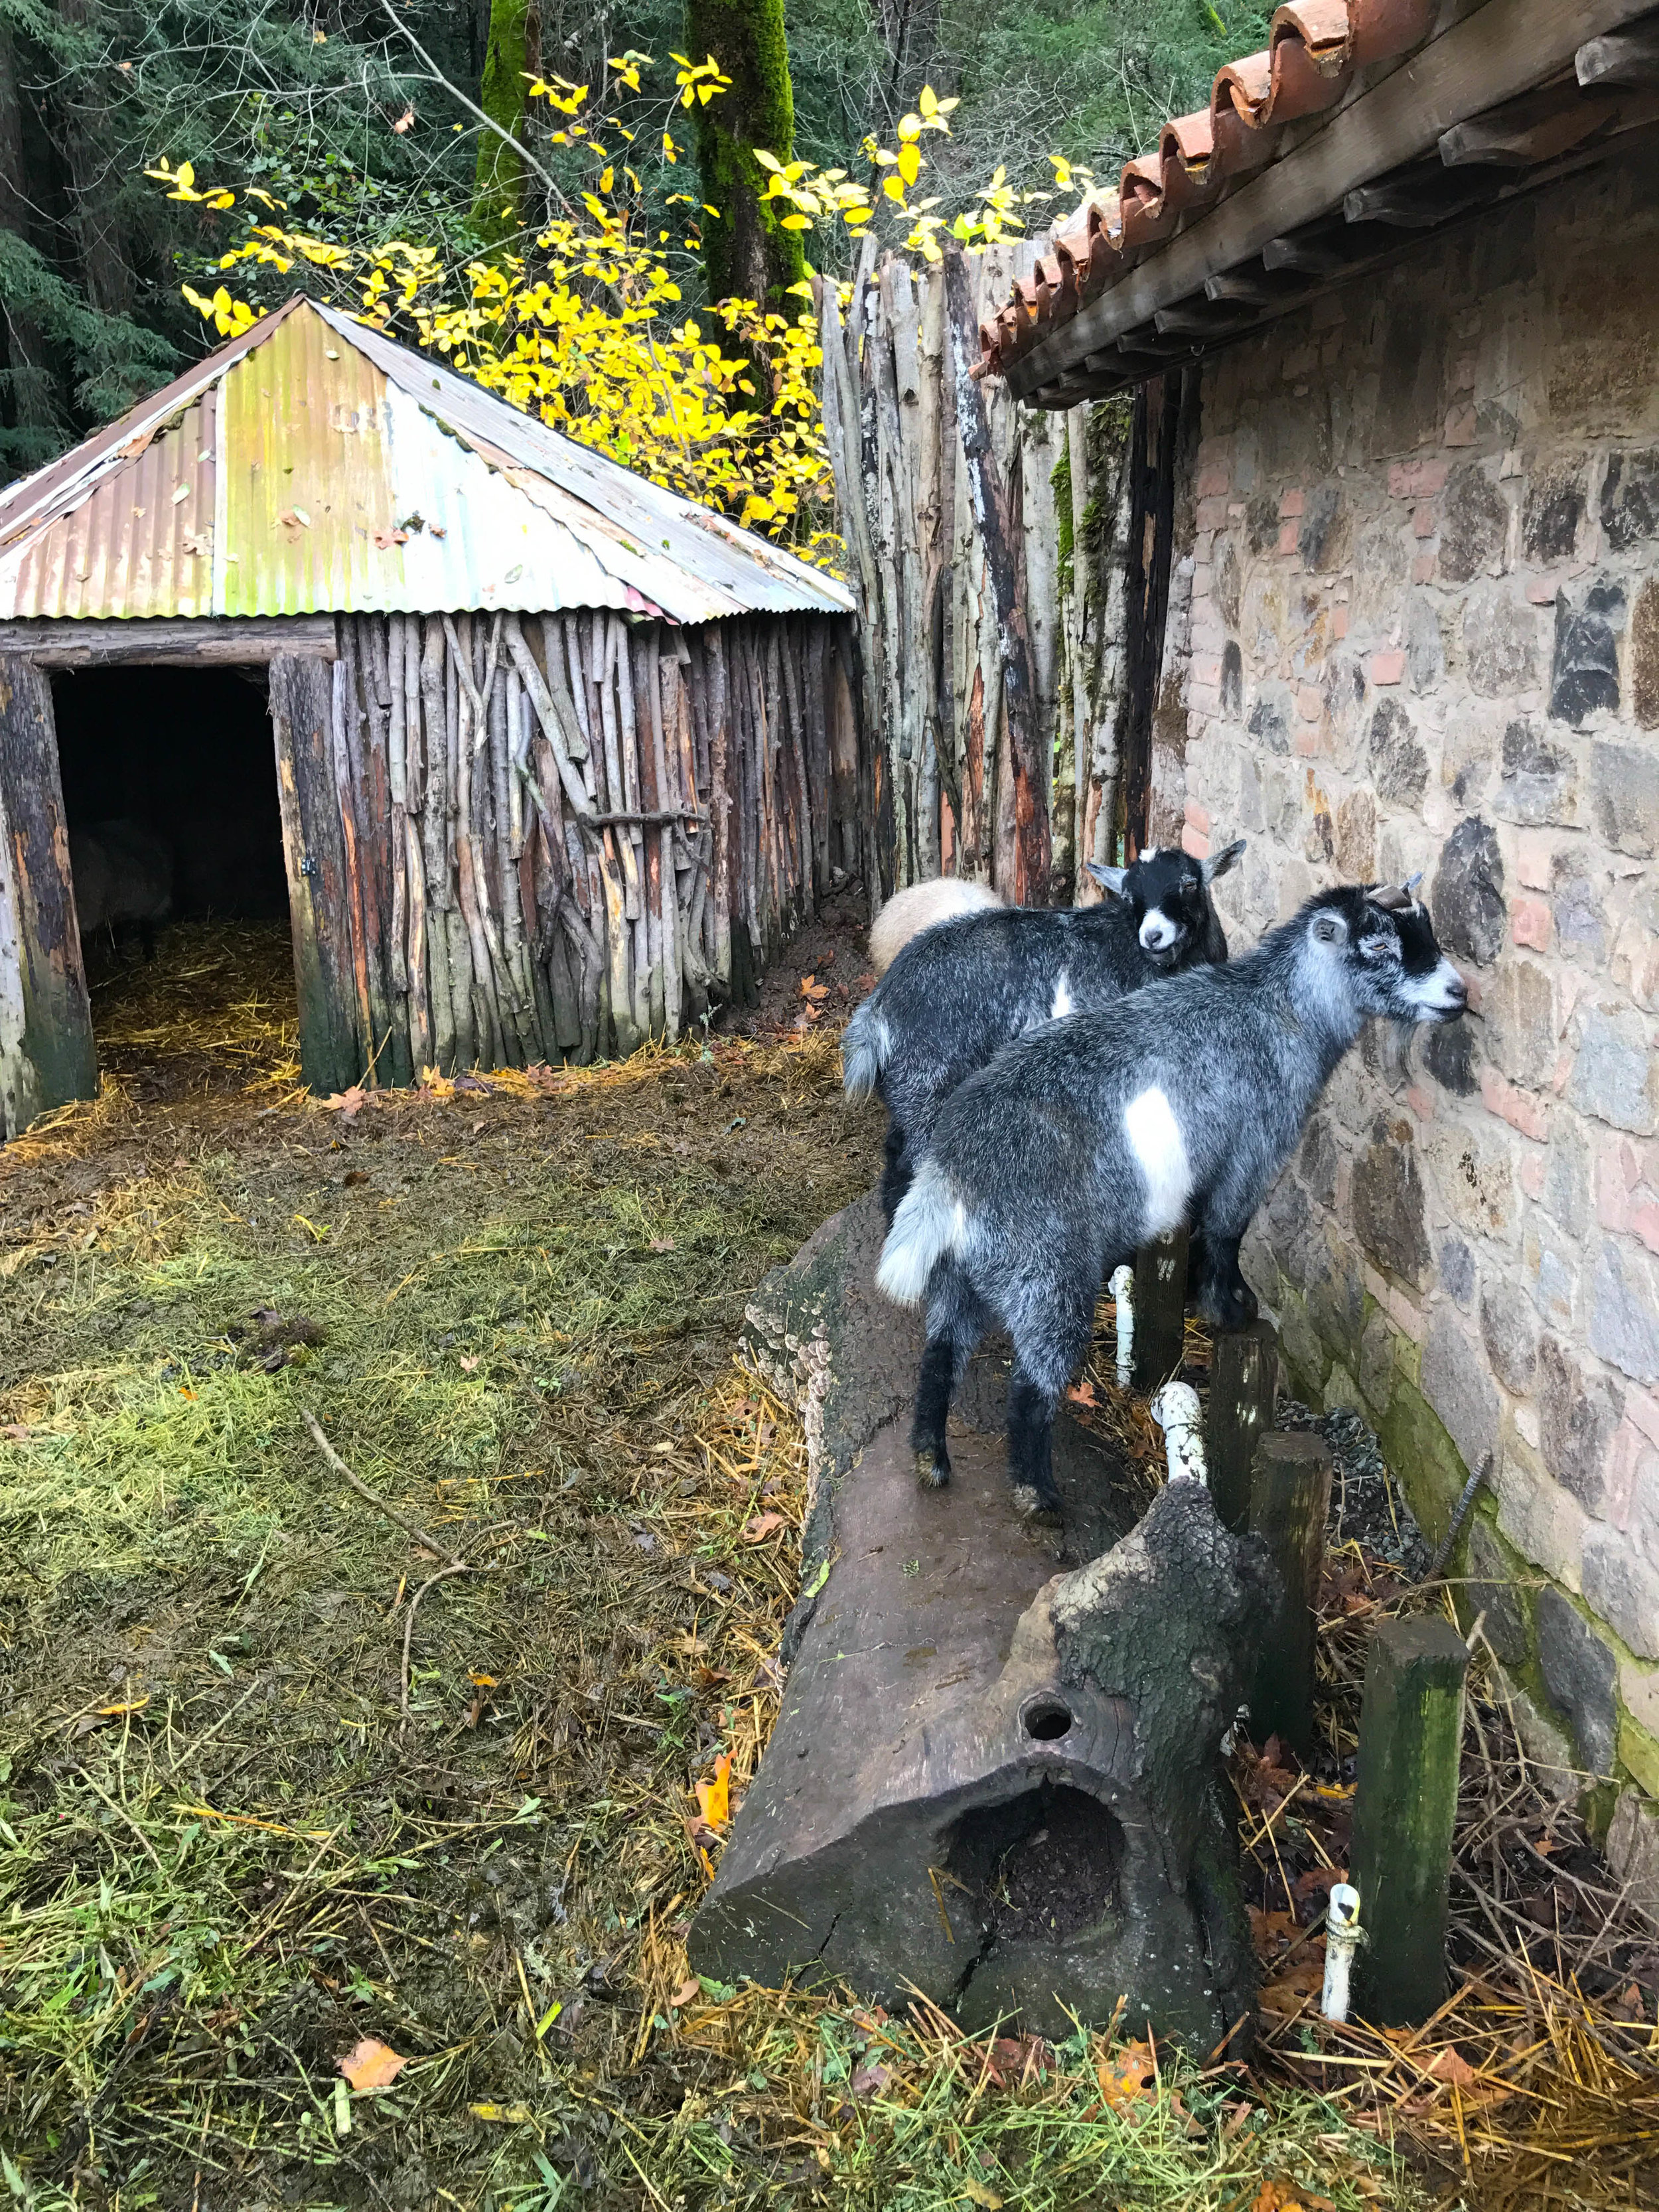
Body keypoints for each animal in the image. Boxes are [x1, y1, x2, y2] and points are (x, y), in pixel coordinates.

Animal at [845, 845, 1248, 1230]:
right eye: (1131, 897)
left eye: (1189, 884)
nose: (1153, 936)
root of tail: (877, 1011)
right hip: (926, 1090)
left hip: (907, 1096)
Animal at [885, 880, 1469, 1522]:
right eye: (1381, 945)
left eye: (1427, 930)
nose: (1458, 993)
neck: (1279, 1013)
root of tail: (952, 1172)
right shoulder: (1254, 1148)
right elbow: (1226, 1230)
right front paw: (1230, 1305)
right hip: (1046, 1276)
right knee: (1032, 1387)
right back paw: (1037, 1492)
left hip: (962, 1273)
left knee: (941, 1353)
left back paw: (931, 1458)